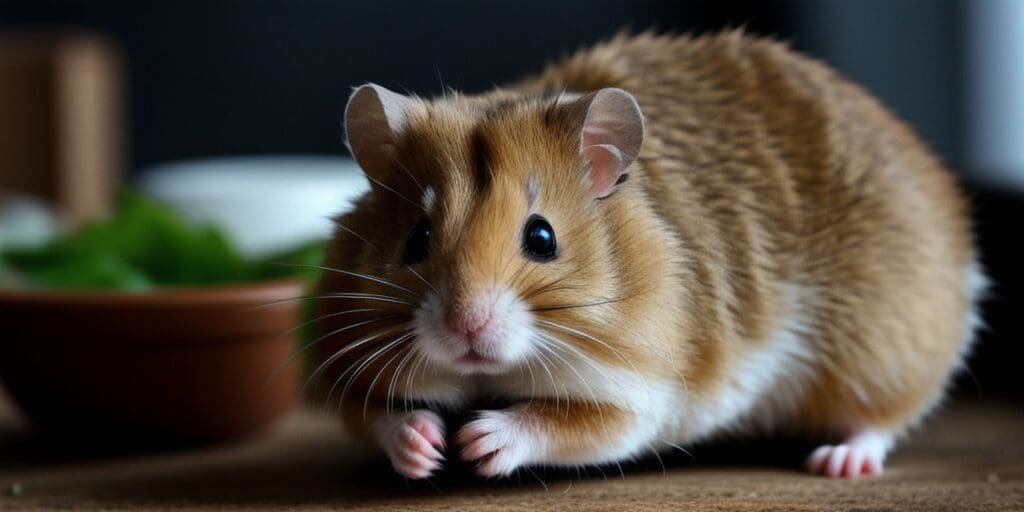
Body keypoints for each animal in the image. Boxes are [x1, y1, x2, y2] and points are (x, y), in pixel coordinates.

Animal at [312, 31, 986, 480]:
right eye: (417, 239)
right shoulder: (349, 374)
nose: (464, 329)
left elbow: (562, 425)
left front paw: (479, 443)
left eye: (542, 238)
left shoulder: (642, 397)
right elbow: (375, 418)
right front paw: (424, 447)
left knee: (882, 418)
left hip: (881, 352)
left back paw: (837, 462)